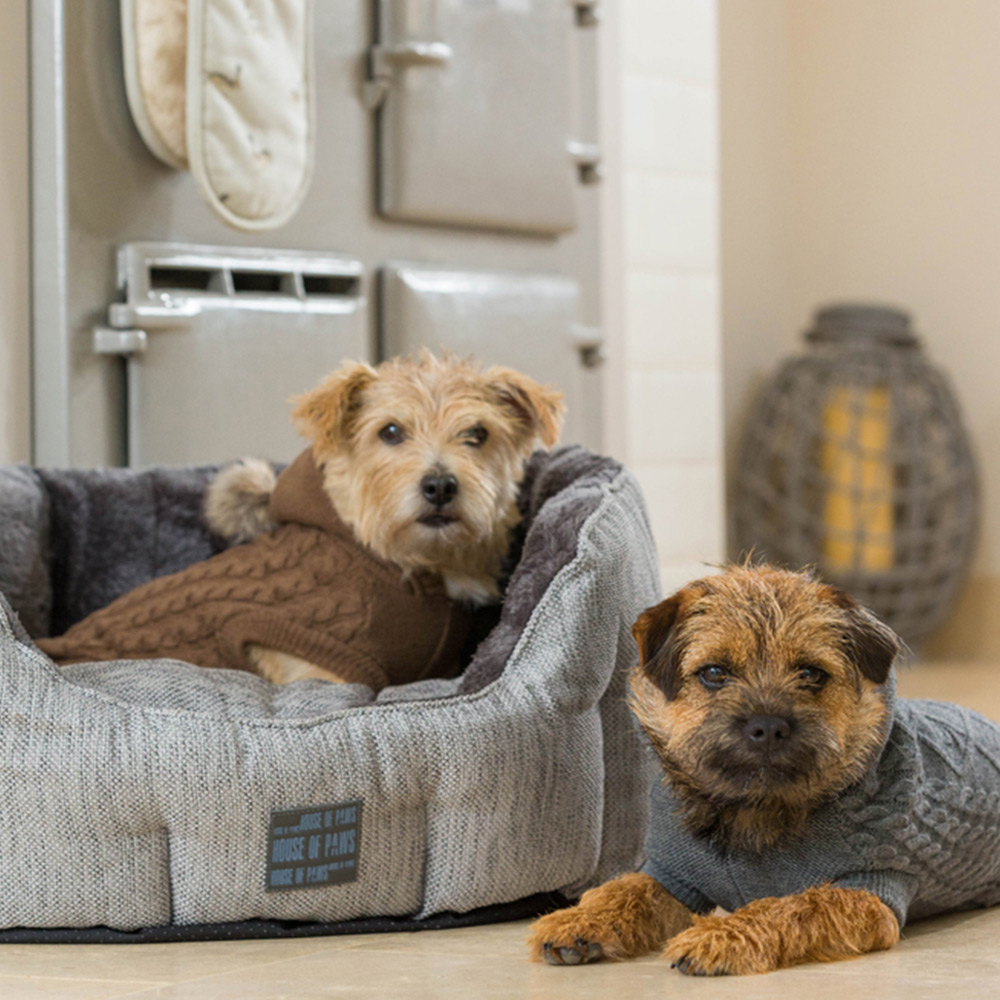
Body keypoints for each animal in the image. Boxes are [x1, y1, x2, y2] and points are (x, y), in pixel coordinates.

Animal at [532, 568, 1000, 972]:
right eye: (715, 673)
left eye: (811, 673)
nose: (768, 726)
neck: (751, 810)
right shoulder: (670, 875)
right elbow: (624, 889)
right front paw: (578, 920)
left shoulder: (867, 892)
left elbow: (790, 905)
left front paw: (721, 935)